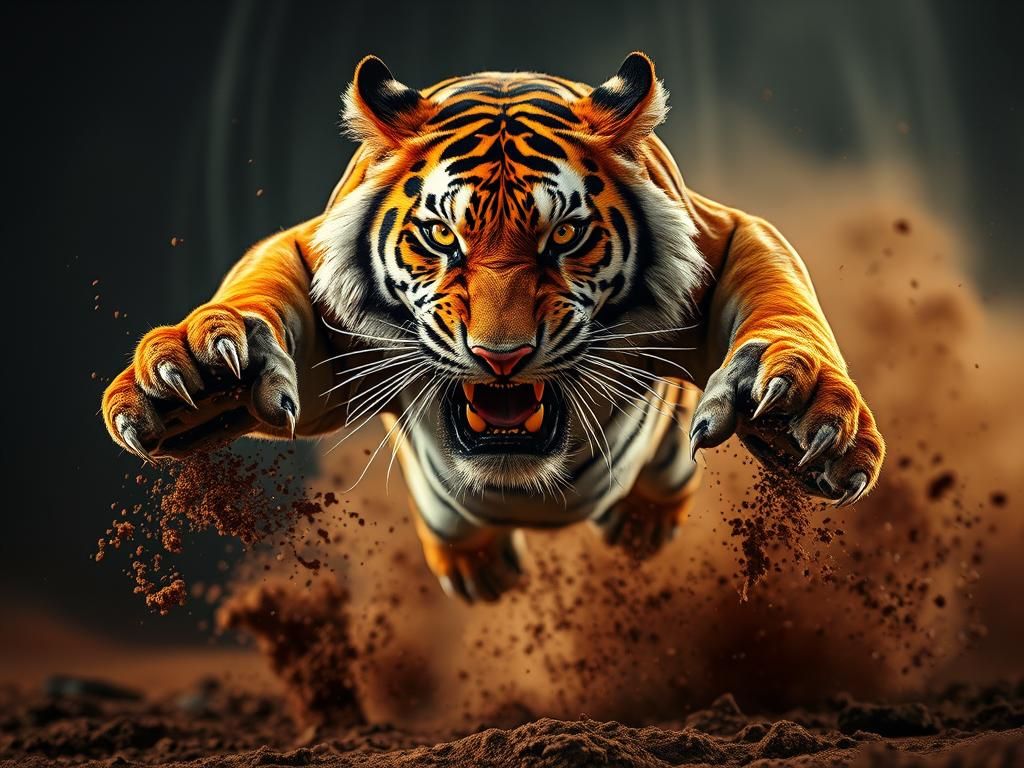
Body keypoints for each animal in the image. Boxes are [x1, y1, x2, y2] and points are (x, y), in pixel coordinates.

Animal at [102, 52, 885, 603]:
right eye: (442, 236)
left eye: (564, 236)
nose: (500, 357)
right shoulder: (322, 330)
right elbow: (256, 288)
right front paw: (201, 375)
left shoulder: (725, 239)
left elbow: (782, 301)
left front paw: (794, 413)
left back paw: (642, 520)